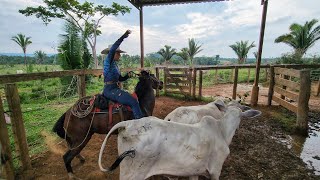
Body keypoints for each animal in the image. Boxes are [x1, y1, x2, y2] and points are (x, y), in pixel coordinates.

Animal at [99, 106, 262, 179]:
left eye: (239, 116)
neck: (221, 130)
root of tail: (128, 123)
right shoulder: (216, 170)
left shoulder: (194, 171)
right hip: (133, 174)